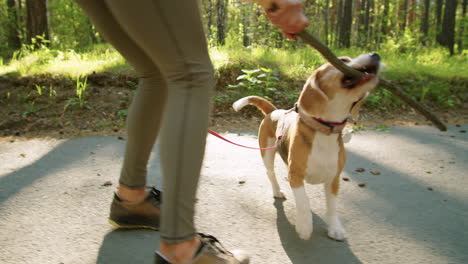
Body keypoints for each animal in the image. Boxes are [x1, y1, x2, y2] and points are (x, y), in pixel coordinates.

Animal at [232, 52, 382, 240]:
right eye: (342, 60)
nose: (375, 55)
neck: (324, 130)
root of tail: (274, 111)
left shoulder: (333, 178)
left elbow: (332, 206)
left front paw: (334, 228)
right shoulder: (296, 175)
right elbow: (304, 201)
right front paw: (304, 226)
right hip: (267, 154)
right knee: (271, 173)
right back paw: (277, 190)